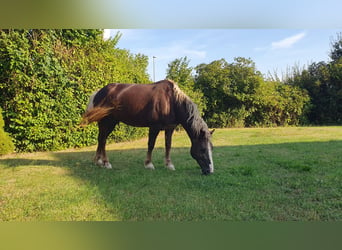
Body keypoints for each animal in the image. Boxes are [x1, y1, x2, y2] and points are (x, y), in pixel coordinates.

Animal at [81, 79, 214, 175]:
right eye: (203, 149)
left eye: (212, 148)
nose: (210, 171)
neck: (171, 101)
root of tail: (99, 92)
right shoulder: (154, 127)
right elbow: (151, 145)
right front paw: (149, 164)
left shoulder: (170, 128)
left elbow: (168, 146)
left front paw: (169, 165)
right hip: (107, 122)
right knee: (103, 140)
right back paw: (106, 163)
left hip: (107, 123)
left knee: (100, 139)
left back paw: (98, 161)